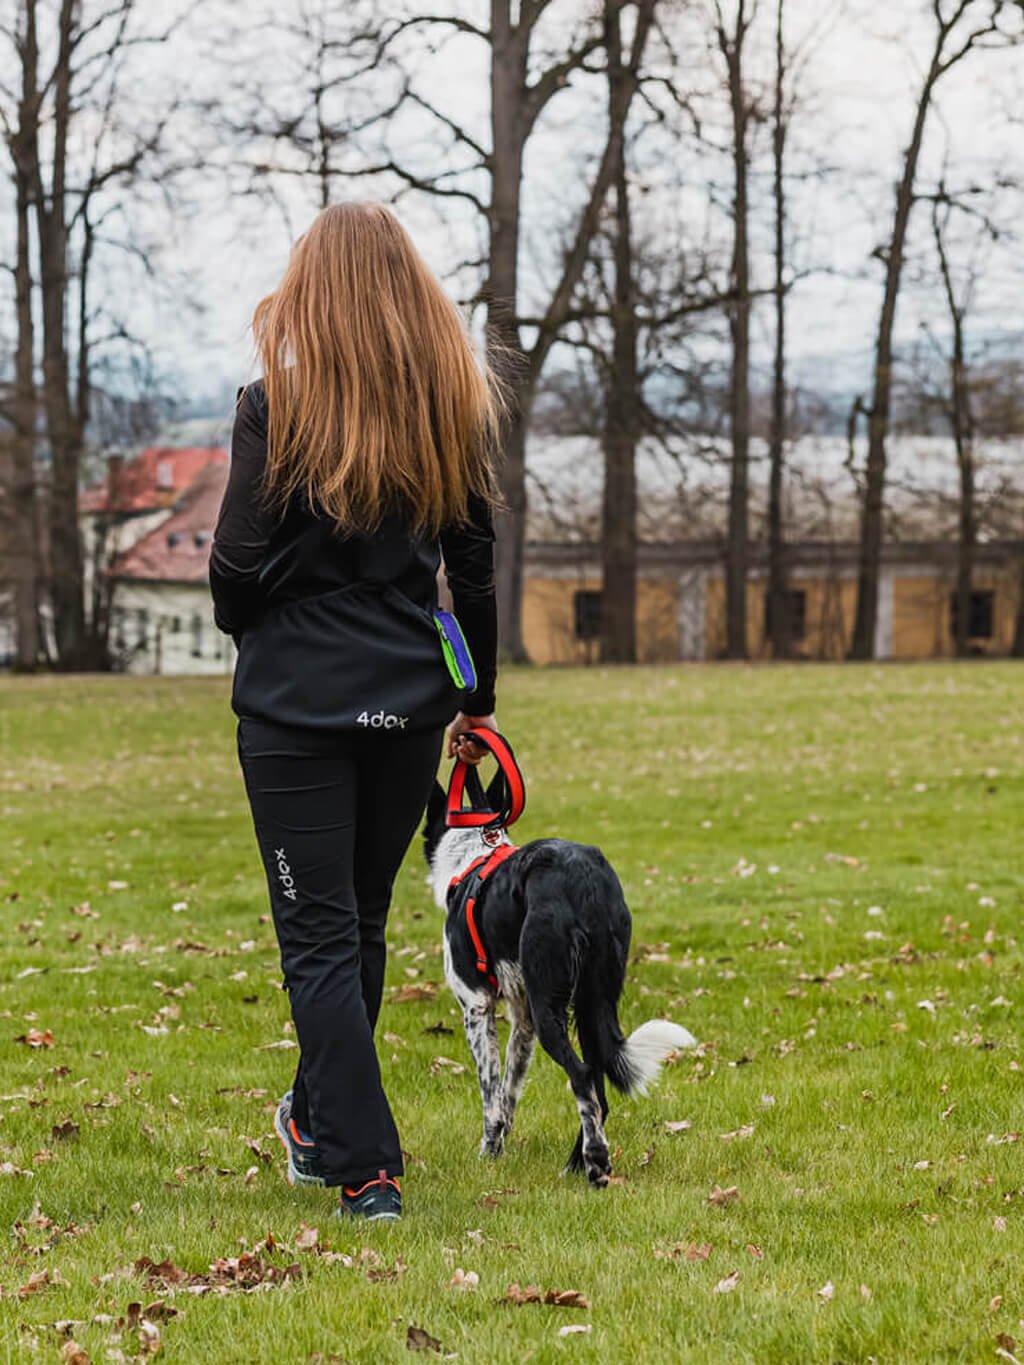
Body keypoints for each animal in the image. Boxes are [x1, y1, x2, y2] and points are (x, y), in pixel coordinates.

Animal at [423, 786, 699, 1190]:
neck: (473, 855)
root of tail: (584, 881)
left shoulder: (477, 1008)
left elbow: (491, 1098)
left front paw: (488, 1155)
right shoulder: (523, 1019)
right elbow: (508, 1093)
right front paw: (501, 1146)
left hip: (549, 1007)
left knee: (581, 1075)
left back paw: (596, 1163)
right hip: (590, 1004)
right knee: (597, 1092)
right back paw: (579, 1164)